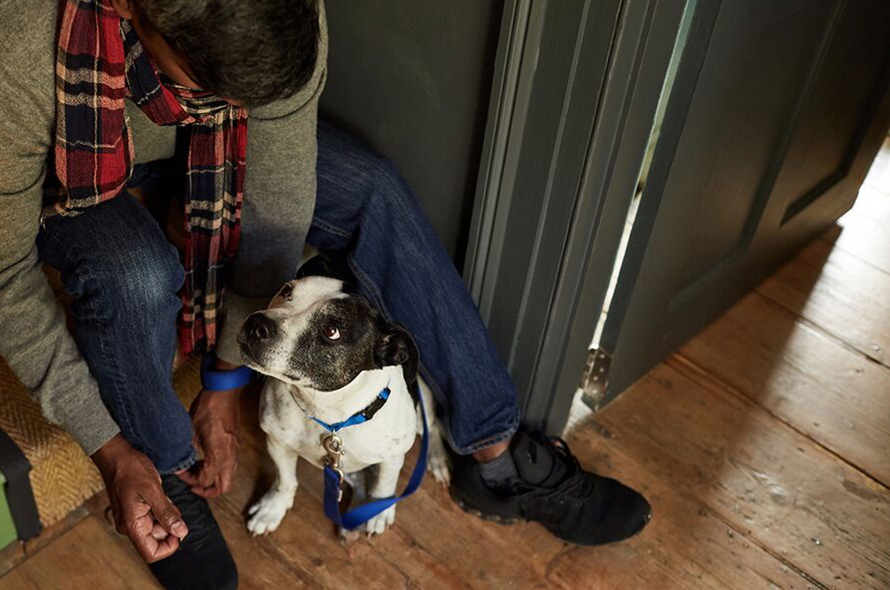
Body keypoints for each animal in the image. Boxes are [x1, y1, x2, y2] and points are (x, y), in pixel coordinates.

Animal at [236, 262, 448, 540]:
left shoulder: (393, 456)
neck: (327, 411)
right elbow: (285, 480)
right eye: (286, 290)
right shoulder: (278, 442)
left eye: (331, 331)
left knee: (434, 427)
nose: (256, 323)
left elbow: (384, 486)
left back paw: (437, 460)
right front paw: (273, 508)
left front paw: (378, 511)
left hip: (422, 412)